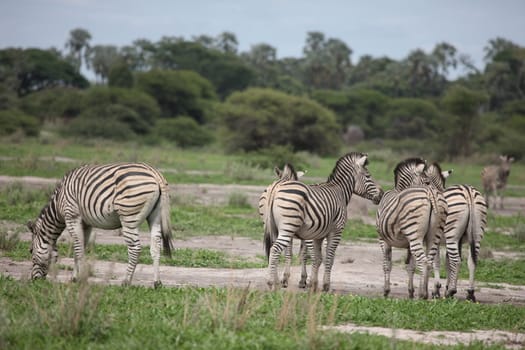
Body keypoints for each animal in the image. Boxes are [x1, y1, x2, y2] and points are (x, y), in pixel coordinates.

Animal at [28, 161, 174, 288]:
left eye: (31, 253)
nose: (34, 280)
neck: (58, 204)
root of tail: (155, 174)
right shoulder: (86, 223)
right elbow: (80, 248)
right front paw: (74, 278)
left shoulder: (72, 216)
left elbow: (78, 249)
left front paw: (80, 279)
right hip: (155, 217)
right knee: (155, 247)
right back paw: (157, 283)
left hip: (129, 218)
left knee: (135, 249)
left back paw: (126, 282)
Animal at [262, 152, 380, 292]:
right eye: (368, 176)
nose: (381, 194)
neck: (340, 191)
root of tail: (277, 186)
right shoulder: (336, 231)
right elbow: (328, 258)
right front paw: (325, 285)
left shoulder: (318, 235)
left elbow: (317, 258)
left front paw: (313, 284)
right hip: (289, 227)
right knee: (275, 249)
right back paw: (271, 283)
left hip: (275, 227)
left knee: (274, 249)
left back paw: (277, 281)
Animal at [374, 158, 448, 298]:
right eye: (427, 181)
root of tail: (430, 194)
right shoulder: (408, 244)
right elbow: (411, 266)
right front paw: (411, 291)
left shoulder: (383, 240)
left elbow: (387, 265)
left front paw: (386, 291)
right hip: (433, 235)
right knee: (429, 261)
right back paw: (424, 292)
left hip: (414, 233)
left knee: (423, 261)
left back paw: (423, 294)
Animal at [426, 161, 488, 300]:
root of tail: (468, 192)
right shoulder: (458, 242)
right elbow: (448, 263)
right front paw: (446, 287)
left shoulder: (435, 239)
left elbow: (437, 262)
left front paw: (437, 290)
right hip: (477, 234)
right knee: (472, 261)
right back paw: (470, 293)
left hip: (451, 235)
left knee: (457, 261)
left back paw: (452, 291)